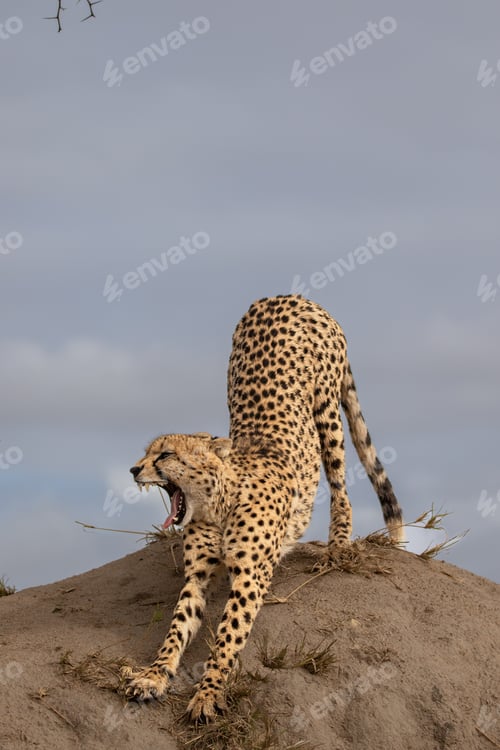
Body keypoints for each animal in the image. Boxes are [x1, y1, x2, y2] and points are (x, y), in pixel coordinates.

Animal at [123, 294, 404, 722]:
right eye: (147, 453)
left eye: (165, 454)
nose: (134, 469)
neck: (218, 504)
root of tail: (289, 295)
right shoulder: (196, 577)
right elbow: (177, 628)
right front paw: (154, 676)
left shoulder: (250, 577)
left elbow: (227, 636)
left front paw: (208, 693)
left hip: (326, 409)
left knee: (340, 479)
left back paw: (338, 544)